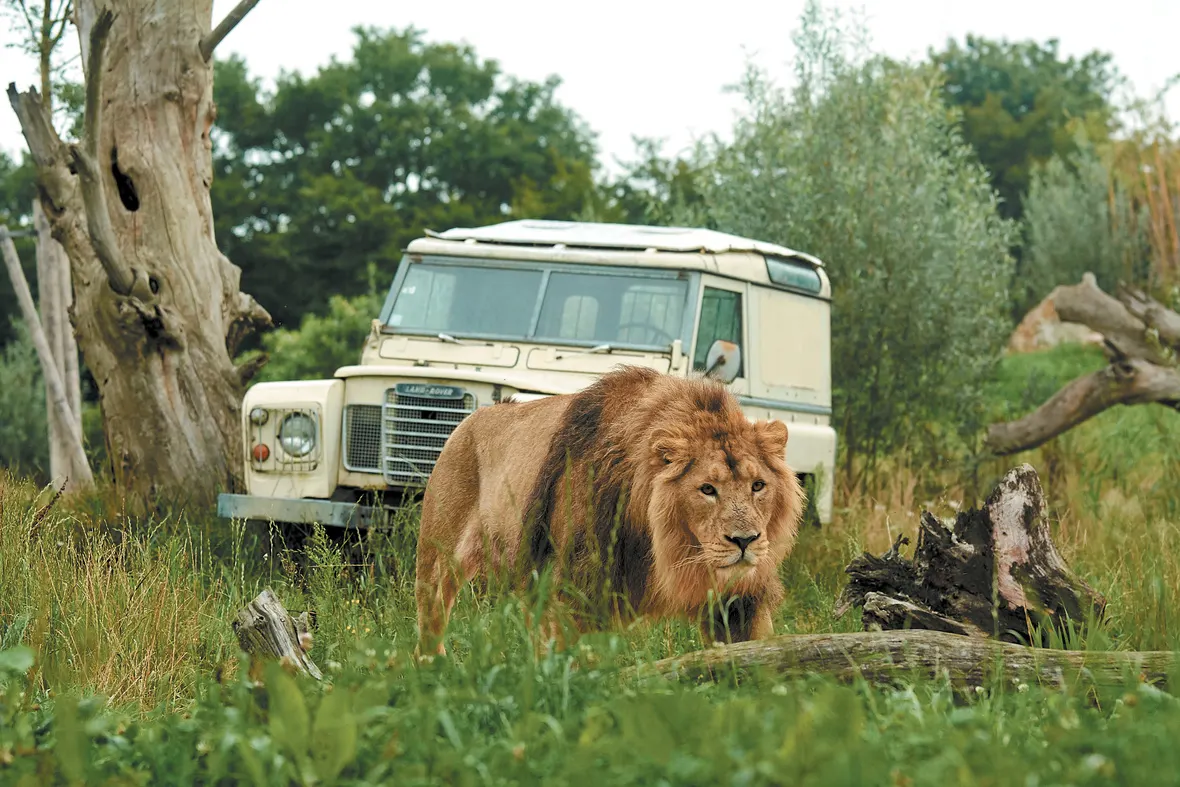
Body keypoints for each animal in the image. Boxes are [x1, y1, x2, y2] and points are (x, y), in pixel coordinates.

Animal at [414, 365, 806, 656]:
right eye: (707, 489)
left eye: (758, 486)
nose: (745, 540)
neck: (665, 547)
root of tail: (469, 419)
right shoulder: (576, 588)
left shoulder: (740, 601)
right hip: (438, 558)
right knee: (430, 620)